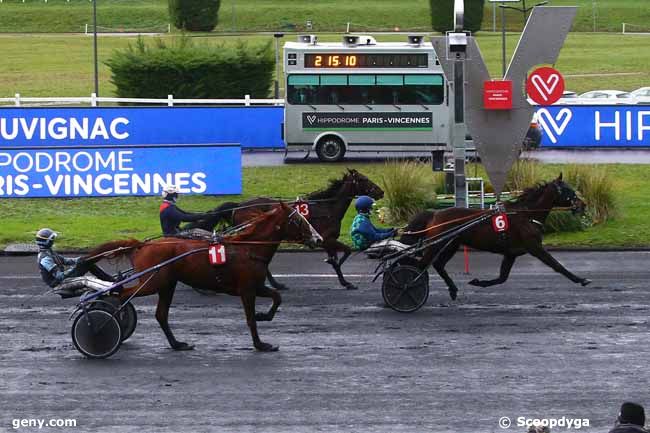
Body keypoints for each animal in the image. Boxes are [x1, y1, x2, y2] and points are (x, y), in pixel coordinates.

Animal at [83, 202, 322, 352]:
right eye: (298, 220)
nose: (318, 238)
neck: (248, 248)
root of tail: (143, 245)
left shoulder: (255, 286)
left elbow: (276, 297)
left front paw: (265, 316)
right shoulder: (247, 290)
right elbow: (250, 320)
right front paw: (261, 345)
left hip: (167, 284)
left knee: (161, 315)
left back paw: (177, 344)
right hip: (153, 282)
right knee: (122, 295)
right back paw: (110, 321)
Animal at [185, 169, 382, 290]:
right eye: (363, 179)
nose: (380, 192)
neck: (326, 208)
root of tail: (238, 206)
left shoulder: (326, 240)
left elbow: (338, 257)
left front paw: (343, 279)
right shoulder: (327, 239)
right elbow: (346, 252)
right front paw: (342, 275)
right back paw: (275, 284)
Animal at [398, 174, 588, 298]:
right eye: (568, 191)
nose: (583, 204)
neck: (526, 215)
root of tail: (435, 214)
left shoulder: (511, 253)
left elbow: (502, 278)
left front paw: (478, 282)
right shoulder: (535, 247)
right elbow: (557, 265)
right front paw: (580, 279)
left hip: (451, 244)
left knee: (437, 264)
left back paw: (452, 289)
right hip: (437, 244)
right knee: (421, 266)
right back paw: (407, 287)